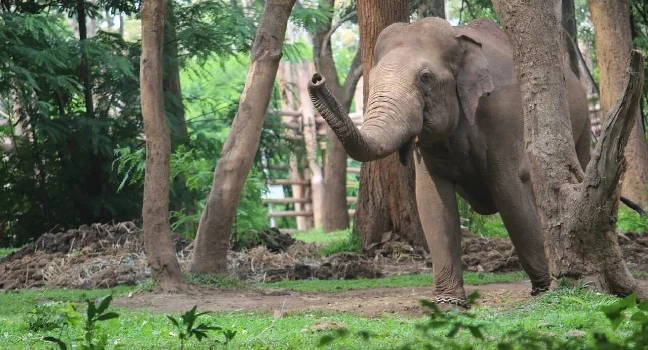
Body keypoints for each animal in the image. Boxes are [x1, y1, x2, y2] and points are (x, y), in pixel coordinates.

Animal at [308, 17, 592, 308]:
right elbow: (432, 201)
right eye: (372, 77)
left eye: (425, 77)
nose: (316, 78)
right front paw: (449, 304)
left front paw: (546, 290)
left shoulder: (505, 119)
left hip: (581, 127)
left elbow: (510, 191)